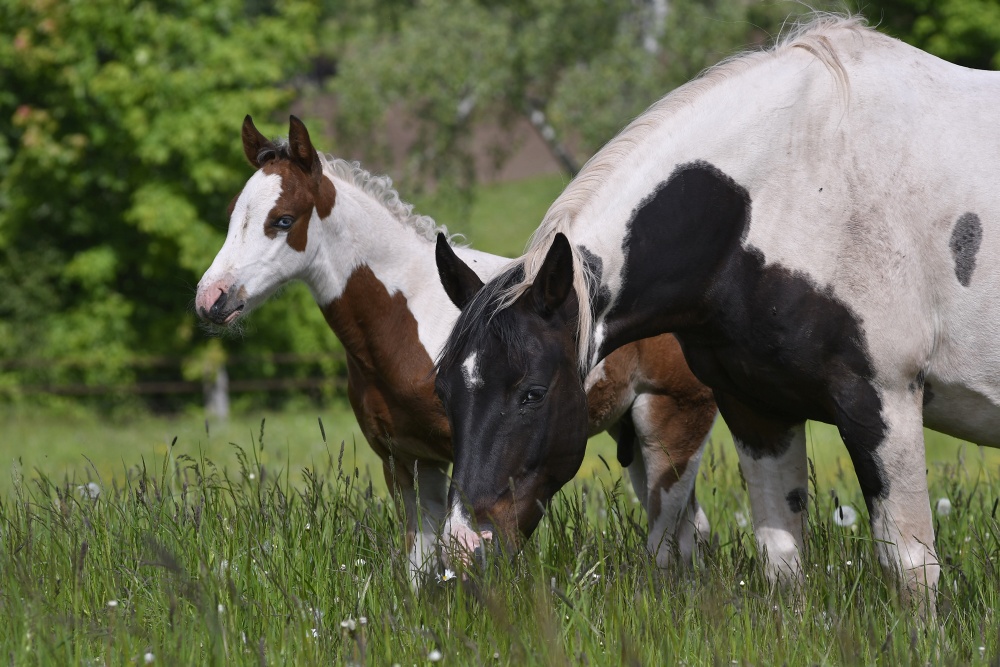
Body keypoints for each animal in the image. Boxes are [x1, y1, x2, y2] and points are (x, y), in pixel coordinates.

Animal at [191, 117, 716, 580]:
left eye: (282, 220)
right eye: (233, 215)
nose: (211, 298)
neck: (410, 312)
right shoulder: (406, 459)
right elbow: (420, 564)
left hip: (672, 419)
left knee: (671, 535)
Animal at [434, 15, 1000, 612]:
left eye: (532, 394)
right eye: (442, 392)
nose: (463, 549)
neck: (799, 186)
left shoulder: (884, 401)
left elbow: (911, 569)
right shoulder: (757, 409)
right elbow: (782, 562)